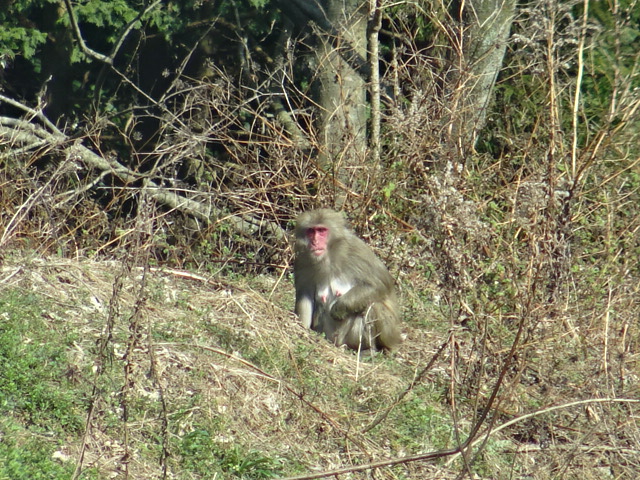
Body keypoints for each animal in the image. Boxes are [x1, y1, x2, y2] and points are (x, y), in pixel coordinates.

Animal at [294, 208, 400, 350]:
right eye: (311, 231)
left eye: (321, 231)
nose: (315, 242)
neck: (328, 256)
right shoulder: (302, 261)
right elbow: (305, 296)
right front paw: (302, 328)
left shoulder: (357, 250)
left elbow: (379, 285)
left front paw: (339, 309)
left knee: (374, 306)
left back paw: (368, 349)